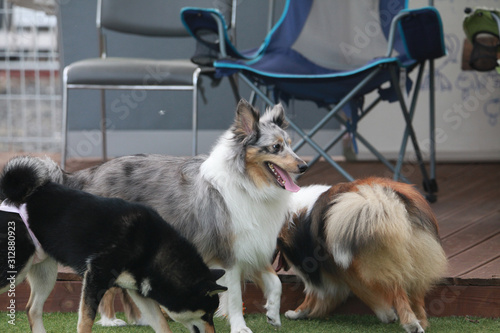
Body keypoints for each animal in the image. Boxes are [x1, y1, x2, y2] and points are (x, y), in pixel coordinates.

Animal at [0, 156, 227, 332]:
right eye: (207, 314)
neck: (151, 246)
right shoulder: (95, 277)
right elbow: (86, 322)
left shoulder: (139, 291)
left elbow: (162, 324)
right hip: (15, 269)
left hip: (45, 273)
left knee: (32, 310)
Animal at [64, 100, 306, 332]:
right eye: (276, 147)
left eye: (290, 144)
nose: (303, 166)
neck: (247, 183)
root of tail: (91, 172)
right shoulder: (228, 254)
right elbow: (236, 297)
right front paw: (240, 327)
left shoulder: (253, 246)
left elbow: (276, 283)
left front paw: (273, 315)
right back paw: (109, 320)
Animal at [278, 178, 450, 332]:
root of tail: (385, 200)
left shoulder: (335, 271)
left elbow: (316, 294)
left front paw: (296, 313)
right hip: (417, 257)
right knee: (416, 294)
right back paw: (422, 322)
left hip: (373, 263)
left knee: (397, 291)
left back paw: (411, 324)